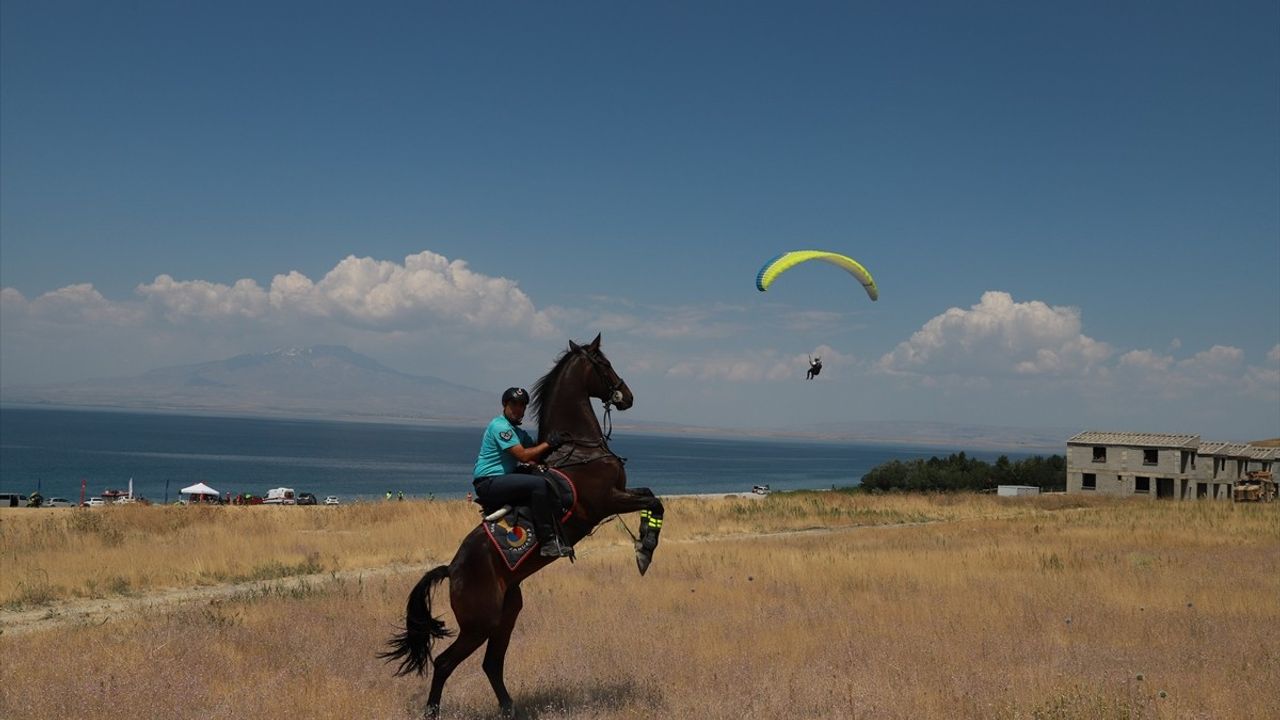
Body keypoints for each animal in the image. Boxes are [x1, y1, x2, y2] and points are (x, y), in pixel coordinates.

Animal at [378, 333, 665, 712]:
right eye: (604, 364)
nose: (628, 396)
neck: (578, 448)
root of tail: (452, 569)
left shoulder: (620, 493)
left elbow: (651, 497)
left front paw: (645, 543)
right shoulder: (606, 500)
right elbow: (654, 501)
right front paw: (645, 549)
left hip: (507, 613)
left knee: (491, 663)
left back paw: (509, 708)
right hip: (479, 623)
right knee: (444, 663)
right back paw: (433, 710)